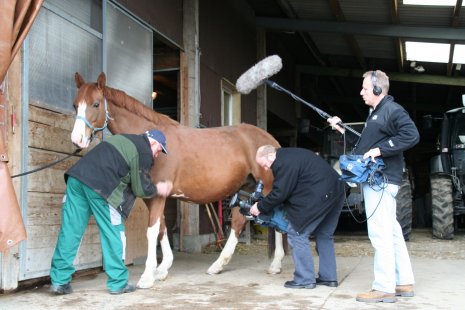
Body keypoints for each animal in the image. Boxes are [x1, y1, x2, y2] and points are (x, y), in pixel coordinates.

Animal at [70, 72, 284, 288]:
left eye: (96, 104)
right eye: (75, 105)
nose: (77, 139)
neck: (153, 141)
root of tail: (272, 140)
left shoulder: (158, 195)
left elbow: (151, 231)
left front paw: (147, 276)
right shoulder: (152, 197)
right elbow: (161, 228)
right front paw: (163, 268)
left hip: (267, 188)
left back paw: (275, 265)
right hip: (245, 188)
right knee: (238, 223)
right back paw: (218, 265)